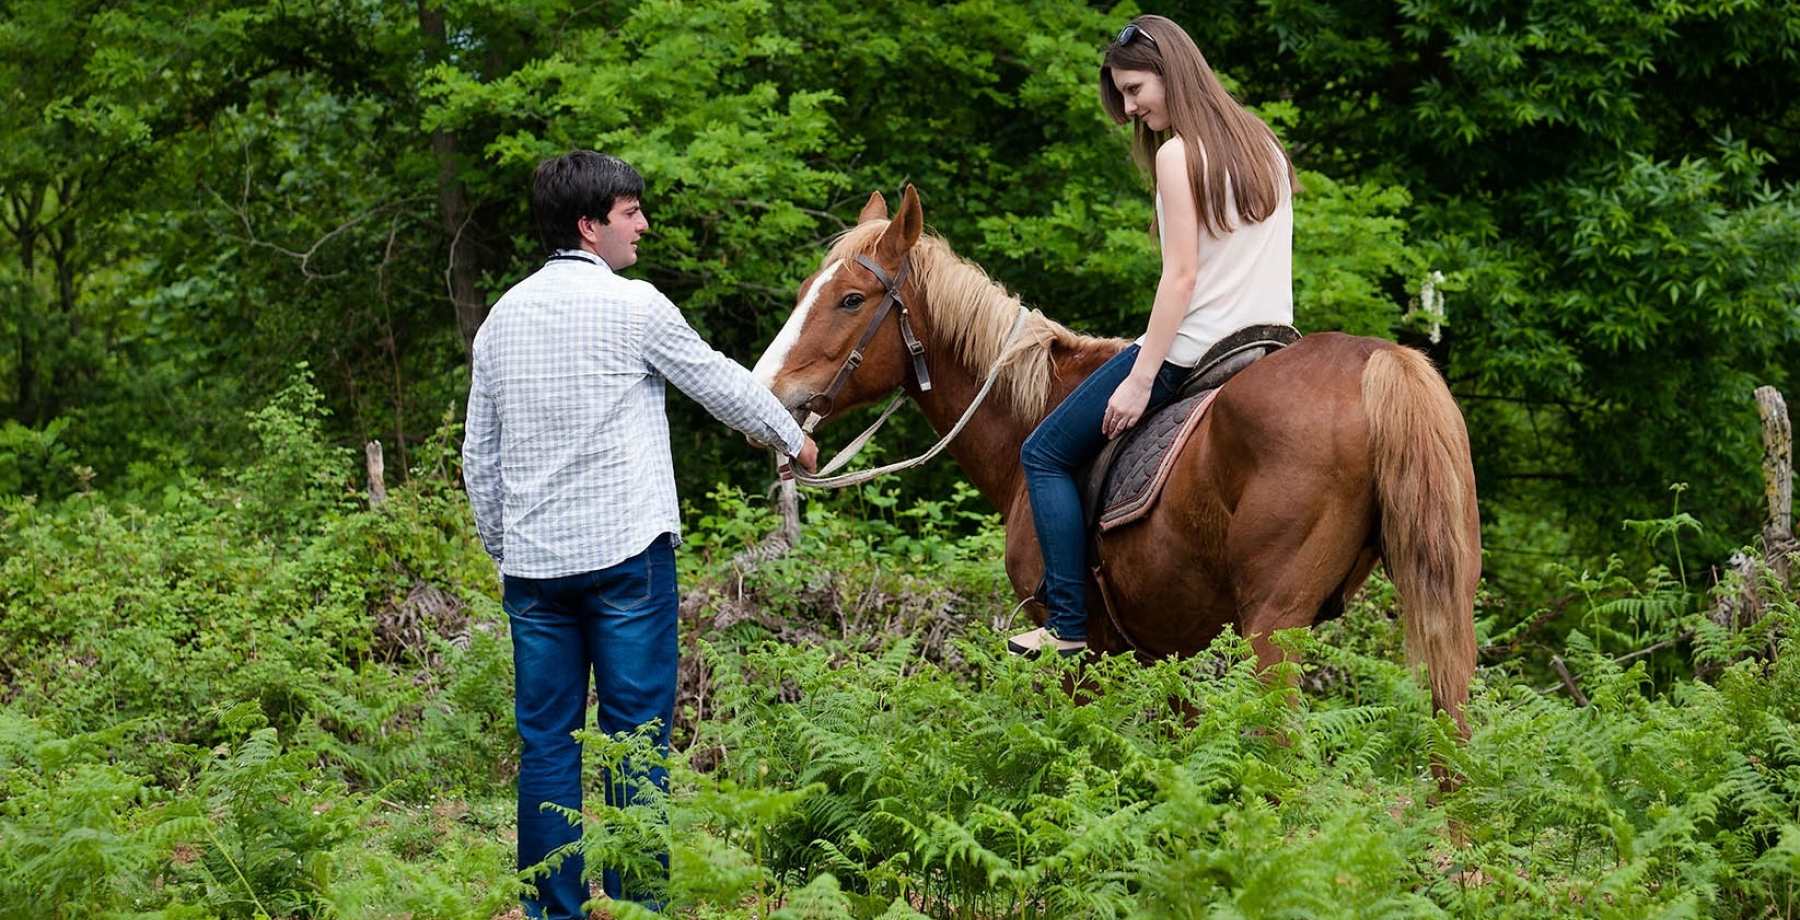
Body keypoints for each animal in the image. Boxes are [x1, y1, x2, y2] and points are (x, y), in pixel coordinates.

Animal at [745, 187, 1476, 734]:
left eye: (850, 299)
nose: (766, 390)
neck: (1034, 406)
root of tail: (1378, 361)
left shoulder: (1084, 652)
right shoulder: (1173, 651)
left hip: (1273, 629)